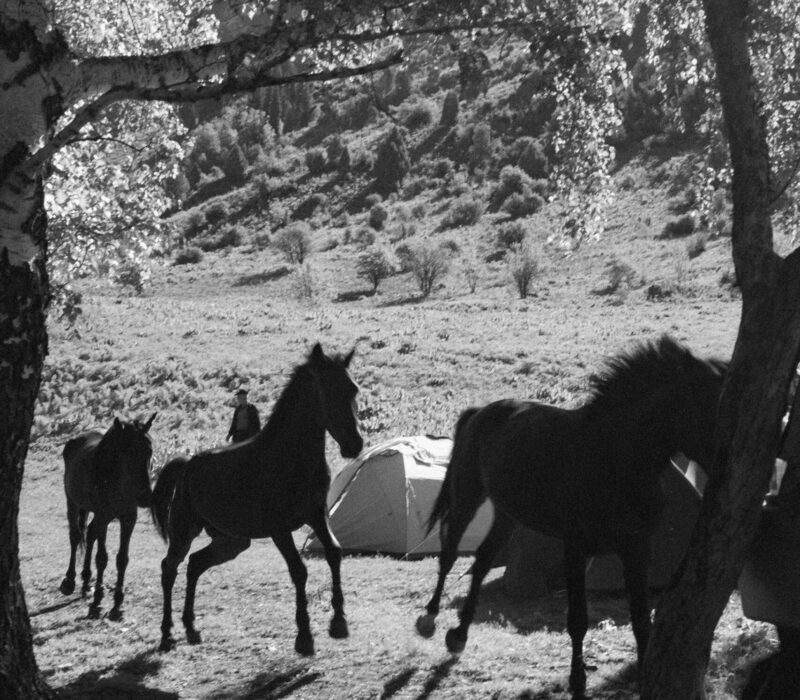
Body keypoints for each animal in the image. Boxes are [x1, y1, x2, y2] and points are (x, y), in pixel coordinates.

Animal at [59, 413, 156, 620]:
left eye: (149, 451)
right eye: (129, 453)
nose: (145, 497)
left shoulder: (128, 519)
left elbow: (122, 559)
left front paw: (117, 603)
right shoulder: (104, 517)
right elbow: (102, 558)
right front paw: (98, 600)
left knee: (89, 534)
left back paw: (86, 581)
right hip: (73, 502)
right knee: (76, 535)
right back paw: (70, 581)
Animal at [152, 343, 364, 655]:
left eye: (352, 389)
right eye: (327, 390)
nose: (354, 444)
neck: (290, 458)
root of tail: (187, 464)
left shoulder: (317, 516)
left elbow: (334, 553)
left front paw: (338, 623)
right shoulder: (279, 529)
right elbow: (298, 570)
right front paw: (304, 636)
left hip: (231, 541)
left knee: (194, 564)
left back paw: (191, 628)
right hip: (184, 532)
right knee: (170, 568)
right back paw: (166, 634)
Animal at [415, 336, 728, 696]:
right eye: (713, 406)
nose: (723, 467)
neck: (614, 459)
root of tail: (480, 411)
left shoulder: (637, 550)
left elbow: (640, 620)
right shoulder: (576, 550)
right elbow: (577, 620)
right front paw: (578, 682)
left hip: (508, 515)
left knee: (481, 562)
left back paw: (459, 635)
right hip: (468, 496)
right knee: (450, 554)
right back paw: (429, 620)